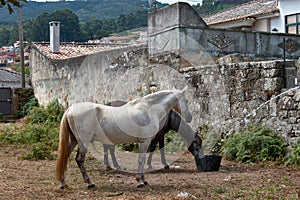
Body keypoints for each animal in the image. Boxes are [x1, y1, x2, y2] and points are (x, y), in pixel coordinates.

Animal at [55, 86, 192, 189]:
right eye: (186, 100)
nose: (190, 118)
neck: (148, 110)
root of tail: (69, 110)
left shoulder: (146, 142)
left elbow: (143, 159)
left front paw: (144, 180)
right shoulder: (145, 141)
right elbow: (141, 160)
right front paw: (139, 181)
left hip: (73, 141)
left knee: (65, 157)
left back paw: (63, 183)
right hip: (83, 142)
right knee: (79, 160)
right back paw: (90, 183)